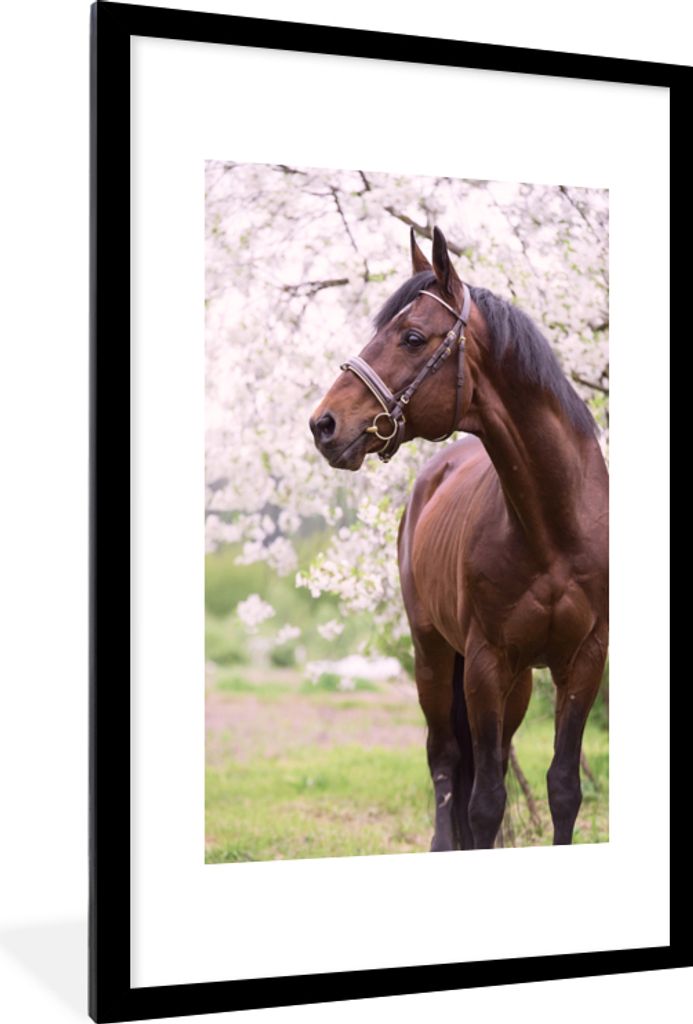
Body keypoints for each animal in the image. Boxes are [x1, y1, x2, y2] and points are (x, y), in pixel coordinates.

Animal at [309, 227, 608, 850]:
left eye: (412, 336)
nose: (323, 424)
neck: (556, 527)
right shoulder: (484, 663)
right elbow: (485, 800)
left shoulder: (584, 660)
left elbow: (563, 787)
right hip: (433, 654)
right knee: (446, 760)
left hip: (515, 682)